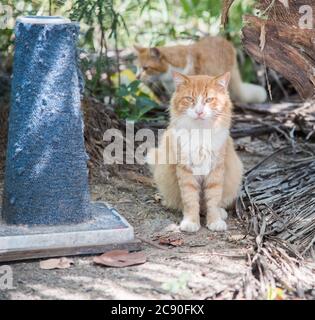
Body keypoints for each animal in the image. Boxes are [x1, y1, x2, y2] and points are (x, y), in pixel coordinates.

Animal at [147, 71, 243, 231]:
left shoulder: (216, 169)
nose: (199, 112)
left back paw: (220, 213)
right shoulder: (186, 170)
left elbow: (213, 200)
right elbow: (190, 200)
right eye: (190, 99)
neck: (200, 132)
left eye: (209, 100)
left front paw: (214, 221)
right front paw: (191, 222)